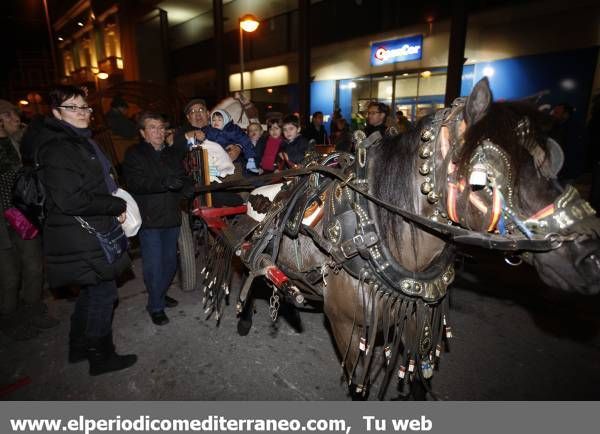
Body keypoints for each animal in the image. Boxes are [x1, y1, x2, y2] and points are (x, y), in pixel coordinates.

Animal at [203, 77, 600, 400]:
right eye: (483, 179)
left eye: (555, 160)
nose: (590, 259)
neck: (373, 230)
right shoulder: (346, 326)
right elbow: (357, 386)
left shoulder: (417, 315)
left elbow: (421, 379)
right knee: (251, 269)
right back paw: (246, 316)